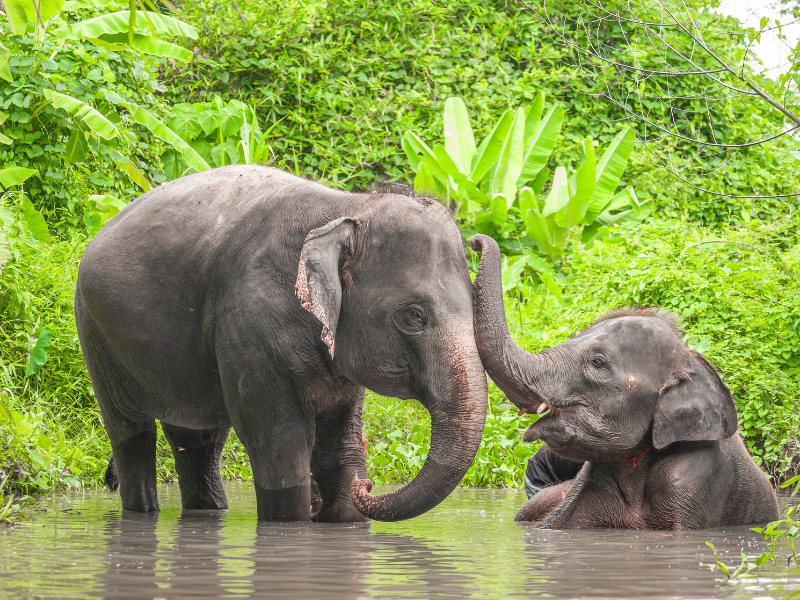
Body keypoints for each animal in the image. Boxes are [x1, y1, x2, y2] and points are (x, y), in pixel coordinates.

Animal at [74, 165, 488, 523]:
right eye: (414, 315)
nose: (369, 485)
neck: (348, 207)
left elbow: (339, 444)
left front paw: (342, 505)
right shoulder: (251, 320)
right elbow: (281, 445)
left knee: (199, 441)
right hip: (96, 331)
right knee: (132, 434)